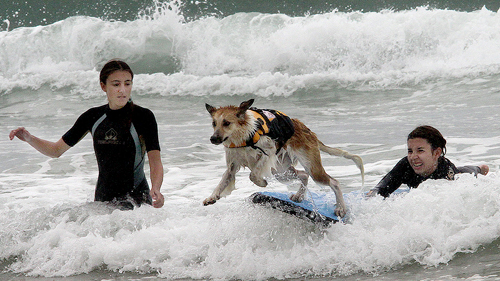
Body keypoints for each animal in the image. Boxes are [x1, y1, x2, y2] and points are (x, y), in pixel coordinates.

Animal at [203, 98, 364, 217]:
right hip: (281, 171)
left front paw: (262, 183)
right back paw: (299, 196)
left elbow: (253, 174)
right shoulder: (232, 164)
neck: (242, 137)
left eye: (226, 123)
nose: (213, 139)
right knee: (303, 175)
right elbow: (223, 181)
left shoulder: (268, 150)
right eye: (214, 123)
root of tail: (308, 131)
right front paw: (212, 197)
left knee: (333, 182)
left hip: (312, 169)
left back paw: (341, 208)